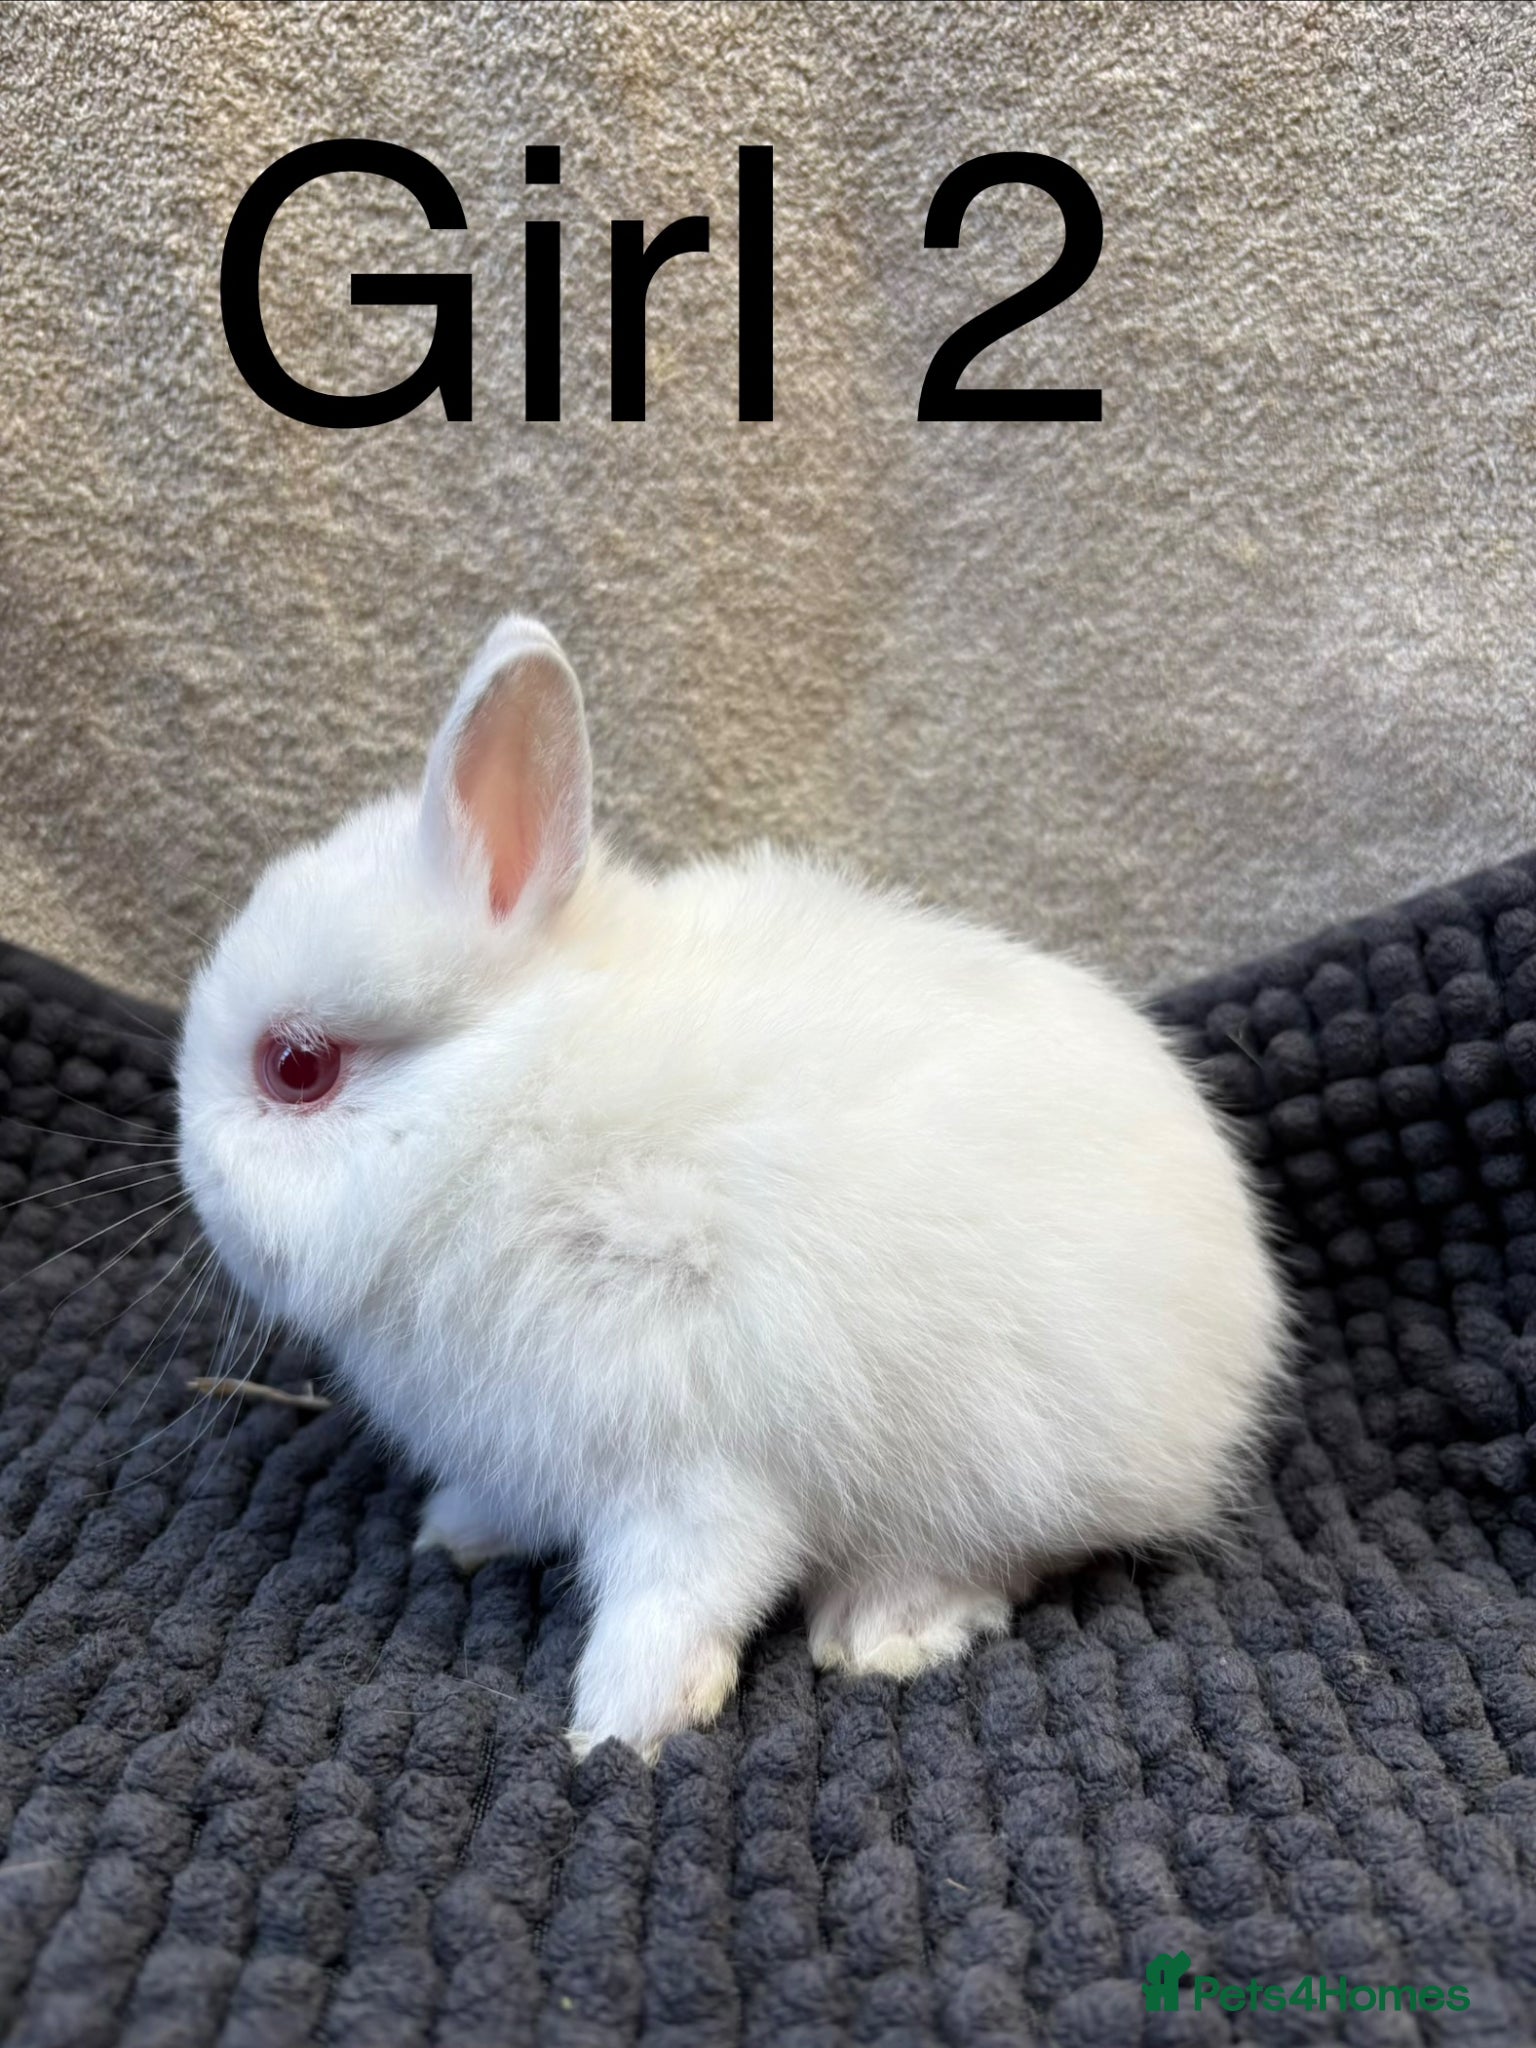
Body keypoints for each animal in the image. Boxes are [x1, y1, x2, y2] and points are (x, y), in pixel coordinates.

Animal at [176, 615, 1289, 1760]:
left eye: (296, 1067)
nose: (192, 1175)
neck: (501, 1106)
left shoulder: (693, 1449)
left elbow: (682, 1589)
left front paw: (618, 1728)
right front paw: (456, 1532)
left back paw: (888, 1629)